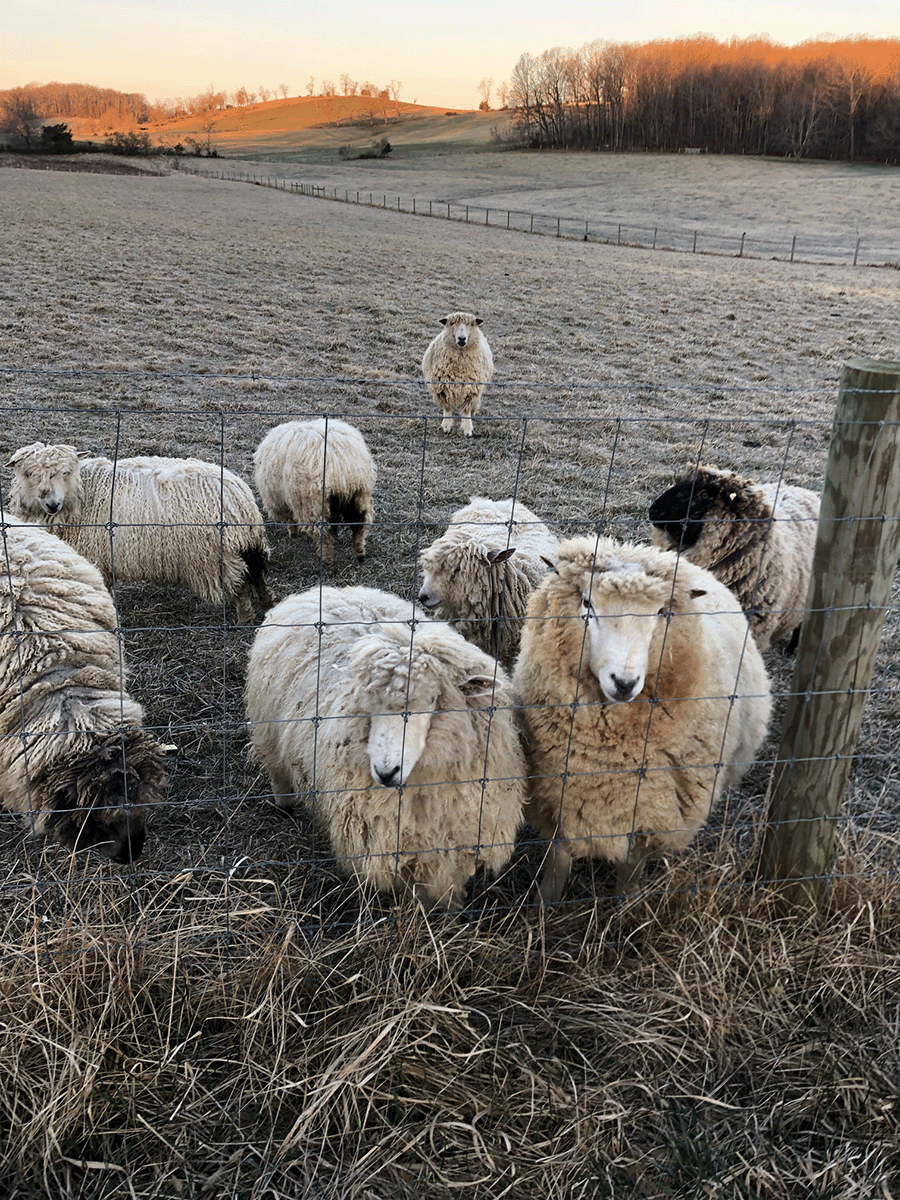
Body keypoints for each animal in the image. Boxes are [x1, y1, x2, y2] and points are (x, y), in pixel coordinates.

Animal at [7, 442, 273, 624]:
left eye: (65, 472)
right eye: (29, 474)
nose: (52, 504)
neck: (83, 494)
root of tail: (241, 496)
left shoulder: (95, 558)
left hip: (216, 555)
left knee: (240, 583)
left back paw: (244, 618)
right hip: (246, 547)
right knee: (257, 575)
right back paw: (267, 607)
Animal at [245, 585, 525, 908]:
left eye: (433, 700)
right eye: (368, 703)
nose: (385, 772)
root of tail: (325, 589)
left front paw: (447, 909)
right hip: (267, 729)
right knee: (277, 769)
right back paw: (284, 803)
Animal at [252, 418, 376, 566]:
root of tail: (339, 464)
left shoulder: (279, 501)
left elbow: (290, 520)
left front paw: (293, 533)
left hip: (313, 504)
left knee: (324, 534)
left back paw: (326, 559)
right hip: (359, 496)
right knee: (359, 525)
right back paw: (360, 553)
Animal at [514, 536, 772, 901]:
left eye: (662, 612)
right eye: (587, 602)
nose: (624, 683)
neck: (607, 756)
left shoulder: (652, 808)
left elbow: (631, 867)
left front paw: (625, 906)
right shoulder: (559, 796)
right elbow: (558, 860)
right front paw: (544, 906)